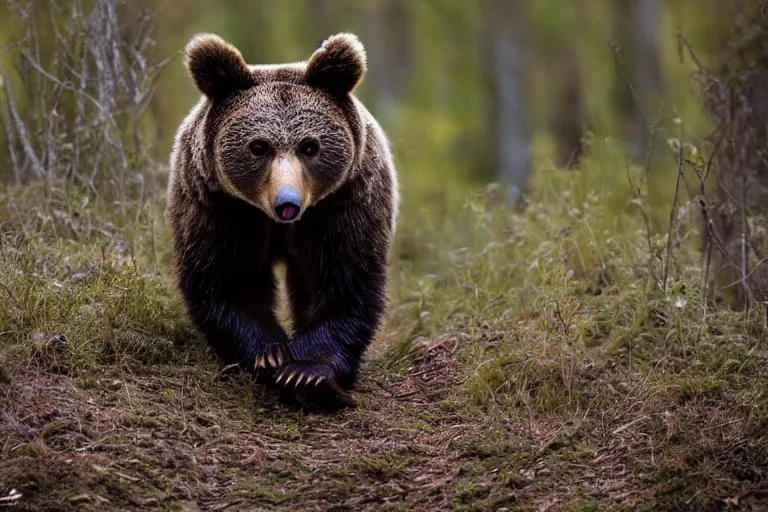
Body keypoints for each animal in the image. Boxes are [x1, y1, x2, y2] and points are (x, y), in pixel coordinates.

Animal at [166, 31, 400, 408]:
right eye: (258, 146)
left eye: (309, 146)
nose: (287, 204)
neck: (275, 223)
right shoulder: (222, 208)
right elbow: (227, 280)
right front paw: (270, 355)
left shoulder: (341, 205)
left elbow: (345, 281)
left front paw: (307, 373)